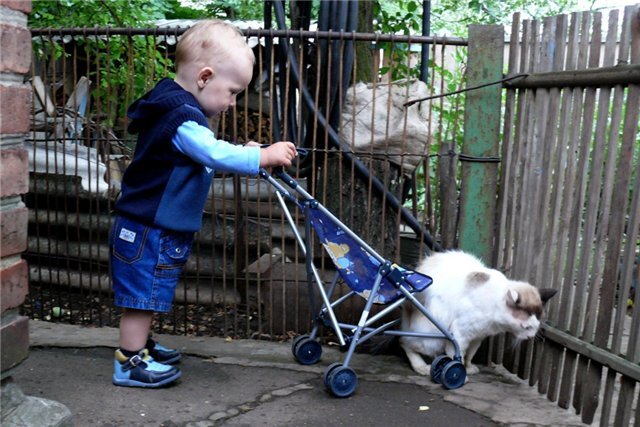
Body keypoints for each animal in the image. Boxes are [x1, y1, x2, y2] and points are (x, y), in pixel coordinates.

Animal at [400, 252, 556, 376]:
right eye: (526, 328)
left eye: (535, 328)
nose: (530, 337)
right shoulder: (459, 334)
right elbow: (457, 356)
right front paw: (460, 374)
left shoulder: (478, 337)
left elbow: (469, 355)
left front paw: (468, 369)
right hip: (431, 339)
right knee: (403, 341)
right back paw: (421, 367)